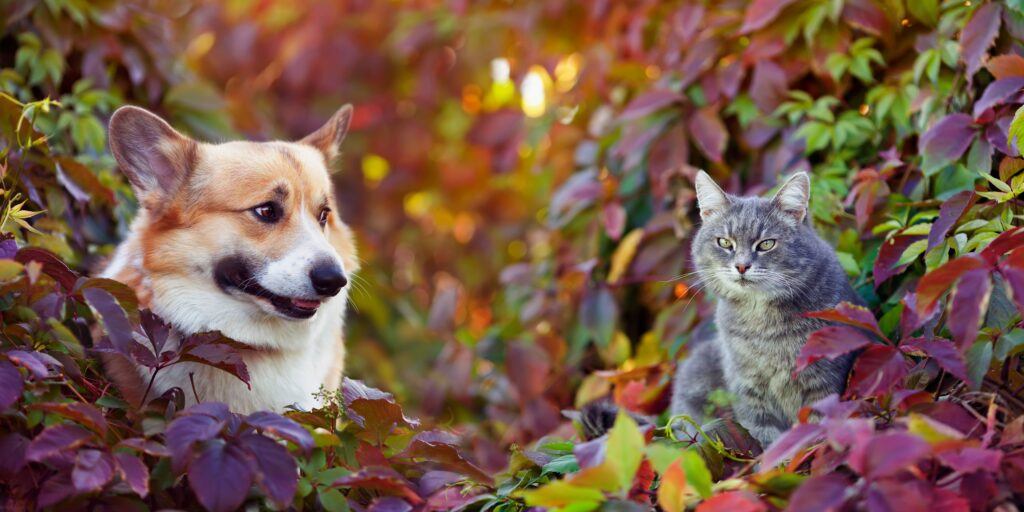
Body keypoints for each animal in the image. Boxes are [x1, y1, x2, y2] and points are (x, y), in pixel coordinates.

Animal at [671, 169, 864, 446]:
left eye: (766, 244)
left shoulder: (823, 377)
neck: (762, 322)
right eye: (724, 243)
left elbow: (817, 423)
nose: (741, 266)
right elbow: (763, 434)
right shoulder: (747, 387)